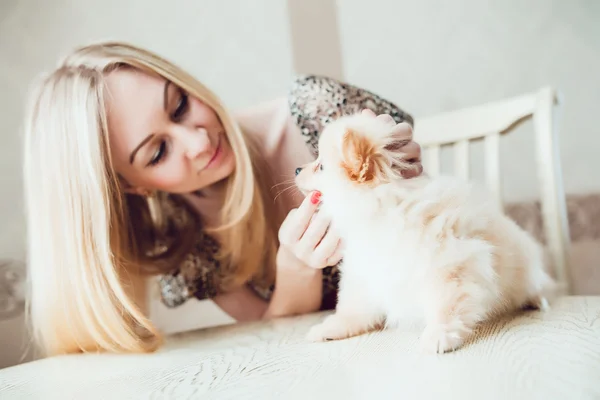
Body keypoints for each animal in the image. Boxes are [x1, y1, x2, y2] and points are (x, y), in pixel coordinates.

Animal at [296, 112, 552, 354]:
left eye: (320, 166)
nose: (297, 168)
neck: (382, 213)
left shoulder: (447, 264)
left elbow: (446, 303)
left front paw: (441, 334)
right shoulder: (366, 273)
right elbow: (353, 307)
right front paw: (331, 328)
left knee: (536, 283)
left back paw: (537, 300)